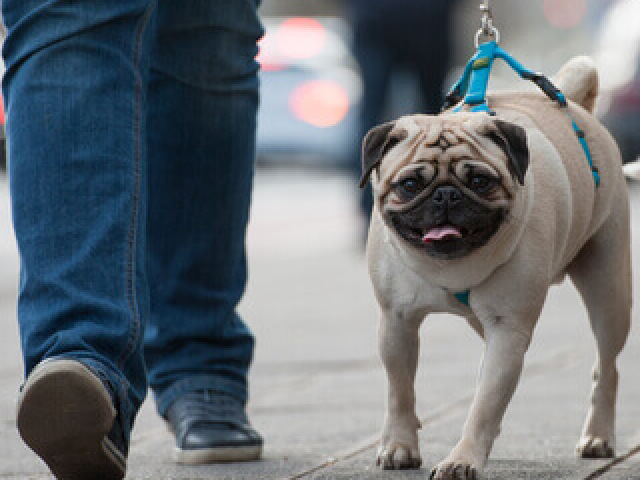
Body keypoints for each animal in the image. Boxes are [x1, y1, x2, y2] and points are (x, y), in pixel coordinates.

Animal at [362, 57, 632, 480]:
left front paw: (462, 459)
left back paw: (598, 437)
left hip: (609, 293)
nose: (446, 195)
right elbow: (400, 390)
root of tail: (573, 102)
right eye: (409, 185)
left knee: (607, 367)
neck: (452, 267)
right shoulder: (397, 321)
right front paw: (400, 446)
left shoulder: (508, 328)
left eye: (479, 180)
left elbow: (485, 402)